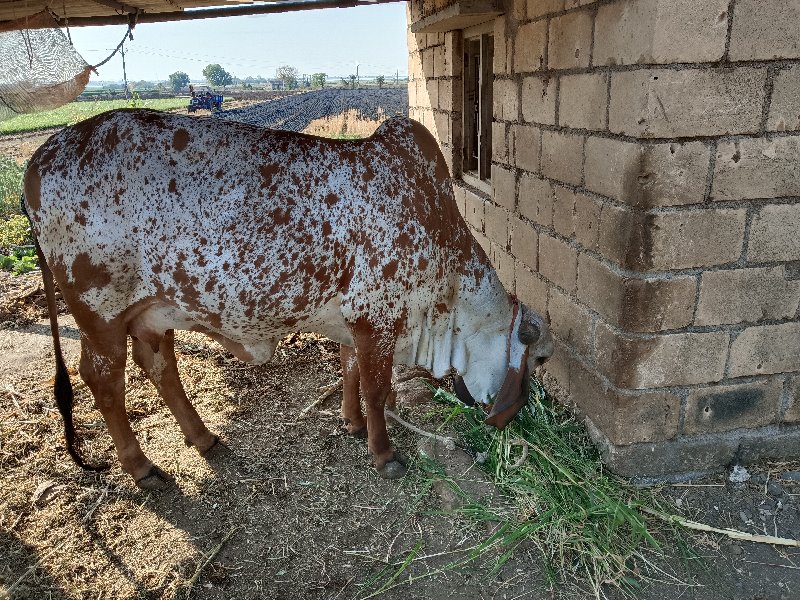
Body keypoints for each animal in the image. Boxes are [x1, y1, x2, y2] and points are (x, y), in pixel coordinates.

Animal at [23, 110, 552, 490]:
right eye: (541, 359)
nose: (512, 418)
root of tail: (40, 157)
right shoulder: (378, 319)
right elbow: (376, 388)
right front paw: (383, 453)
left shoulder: (352, 323)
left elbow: (349, 369)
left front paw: (351, 423)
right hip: (100, 314)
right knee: (103, 382)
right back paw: (141, 466)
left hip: (153, 312)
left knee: (158, 366)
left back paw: (203, 437)